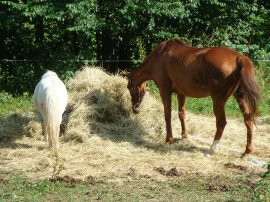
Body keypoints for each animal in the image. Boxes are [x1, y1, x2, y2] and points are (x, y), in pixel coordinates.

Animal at [124, 38, 260, 157]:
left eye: (129, 87)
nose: (135, 109)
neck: (160, 56)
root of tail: (239, 57)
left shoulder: (165, 91)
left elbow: (167, 115)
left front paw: (169, 139)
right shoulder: (181, 93)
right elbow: (181, 114)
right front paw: (184, 135)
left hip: (218, 100)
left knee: (221, 122)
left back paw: (211, 150)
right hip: (240, 96)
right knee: (248, 120)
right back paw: (246, 152)